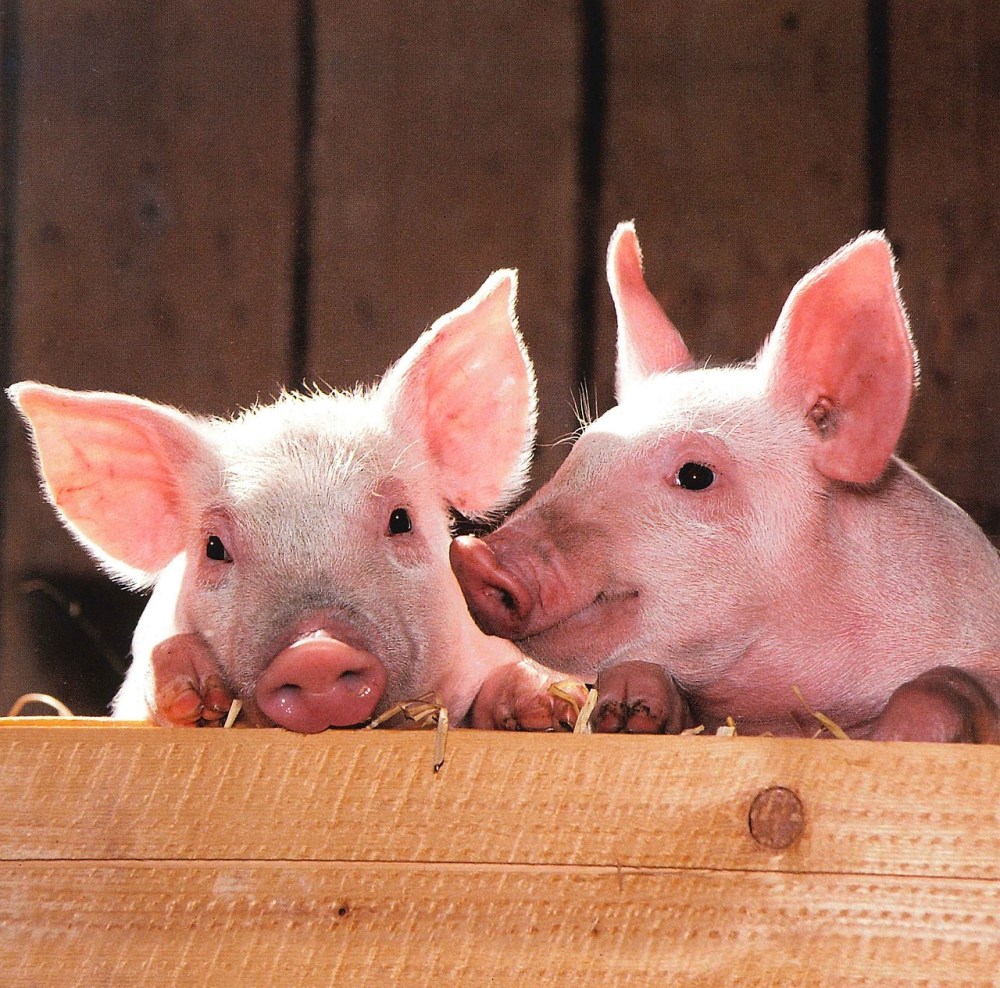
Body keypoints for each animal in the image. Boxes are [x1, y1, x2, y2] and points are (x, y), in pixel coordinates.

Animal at [451, 223, 1000, 743]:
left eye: (696, 474)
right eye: (581, 453)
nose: (473, 555)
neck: (791, 708)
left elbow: (948, 683)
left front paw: (896, 737)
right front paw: (622, 707)